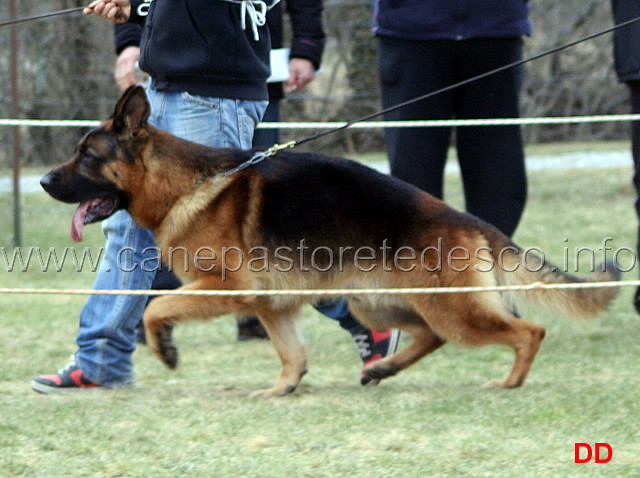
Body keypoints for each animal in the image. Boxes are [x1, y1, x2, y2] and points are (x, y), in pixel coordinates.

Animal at [41, 88, 620, 398]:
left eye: (87, 156)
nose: (44, 181)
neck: (181, 183)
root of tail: (466, 218)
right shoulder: (271, 304)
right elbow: (292, 354)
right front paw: (282, 389)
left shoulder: (225, 287)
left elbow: (157, 307)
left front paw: (165, 349)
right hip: (378, 304)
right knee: (429, 336)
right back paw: (383, 367)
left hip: (452, 310)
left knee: (527, 331)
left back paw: (508, 382)